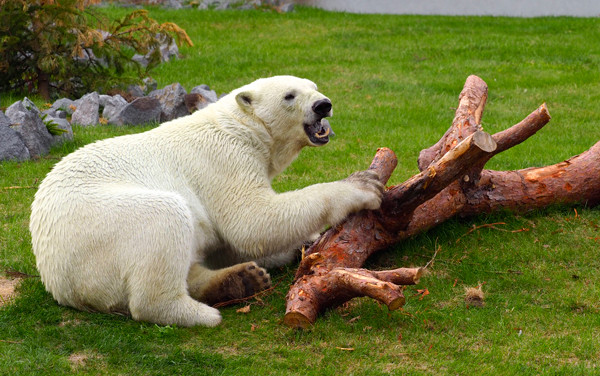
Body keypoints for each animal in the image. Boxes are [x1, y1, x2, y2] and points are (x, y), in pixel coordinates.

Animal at [30, 75, 382, 326]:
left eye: (314, 87)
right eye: (289, 95)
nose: (323, 105)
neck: (241, 127)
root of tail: (55, 277)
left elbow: (232, 241)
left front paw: (303, 244)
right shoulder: (224, 161)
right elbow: (251, 221)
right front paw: (363, 186)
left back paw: (240, 280)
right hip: (100, 224)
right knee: (163, 219)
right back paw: (201, 313)